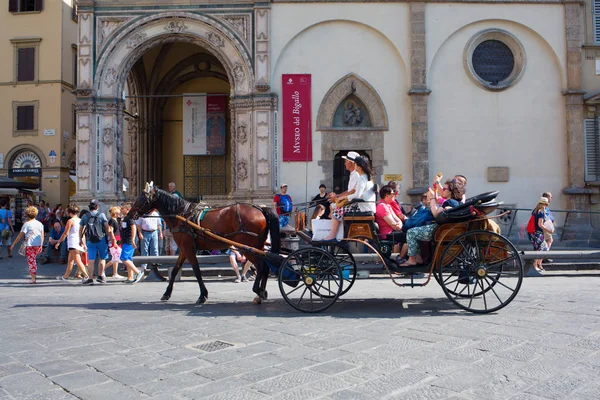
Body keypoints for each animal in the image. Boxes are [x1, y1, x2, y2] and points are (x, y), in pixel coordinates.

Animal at [129, 183, 278, 304]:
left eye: (141, 199)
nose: (129, 215)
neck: (181, 214)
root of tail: (260, 209)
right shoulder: (183, 249)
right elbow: (176, 269)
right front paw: (166, 293)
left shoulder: (188, 248)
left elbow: (196, 270)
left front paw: (202, 296)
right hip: (258, 246)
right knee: (265, 266)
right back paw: (261, 293)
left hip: (248, 247)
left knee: (261, 266)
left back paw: (258, 290)